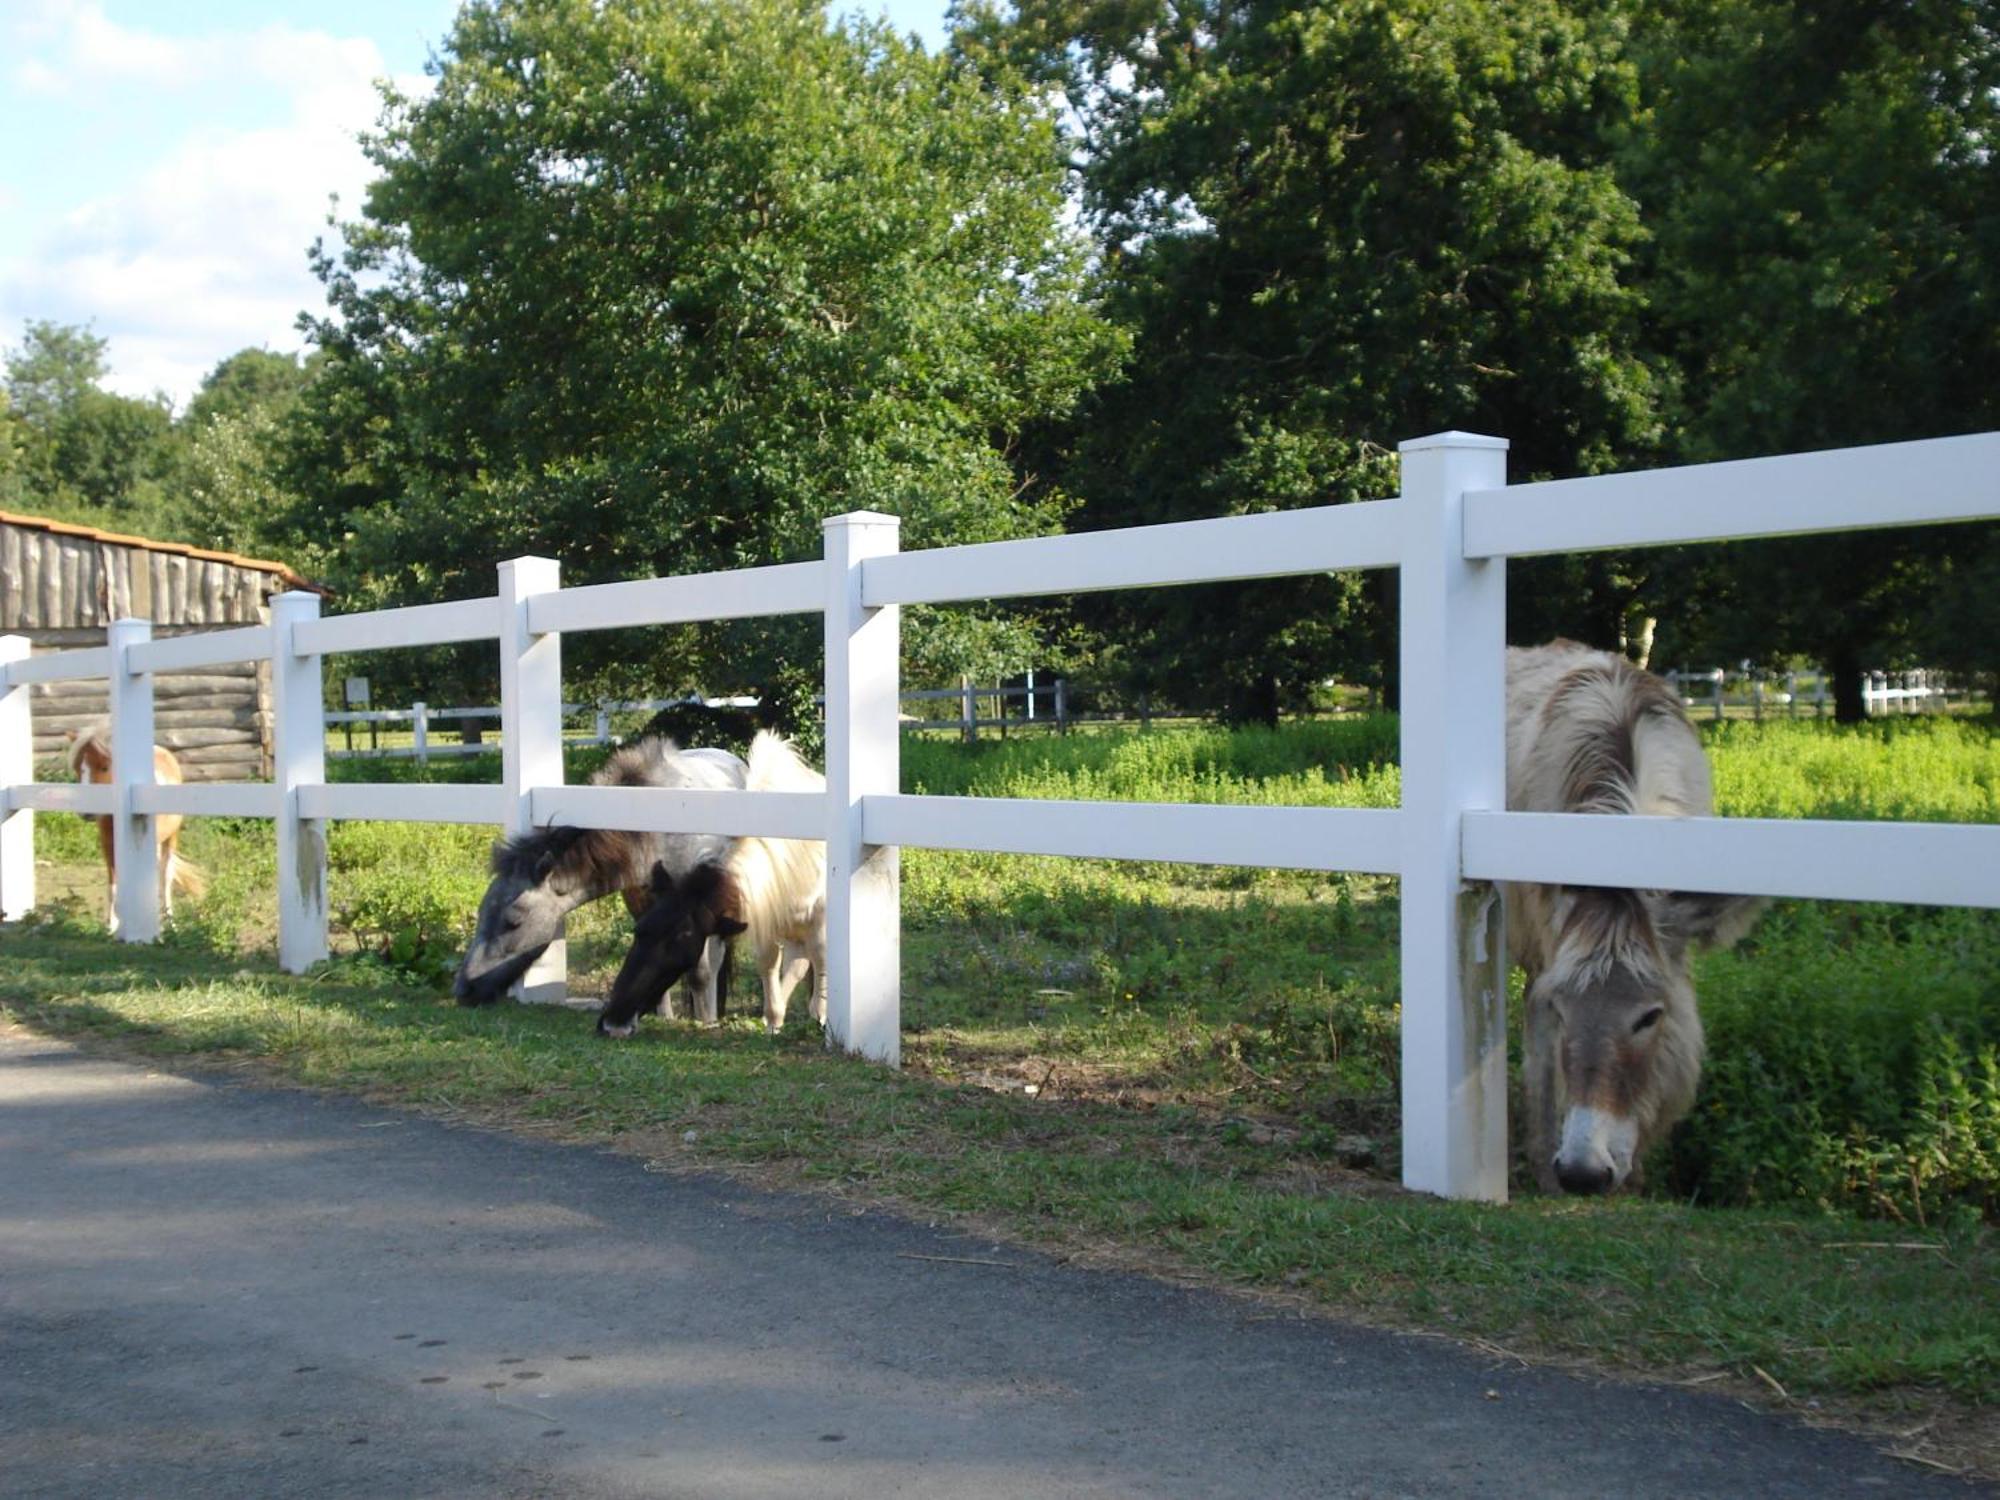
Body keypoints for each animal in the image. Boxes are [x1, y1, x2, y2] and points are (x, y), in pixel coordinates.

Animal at [67, 724, 206, 936]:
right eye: (77, 768)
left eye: (104, 766)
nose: (86, 812)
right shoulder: (108, 845)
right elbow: (113, 885)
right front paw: (111, 927)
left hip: (170, 840)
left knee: (165, 879)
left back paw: (170, 922)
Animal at [454, 736, 752, 1016]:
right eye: (482, 911)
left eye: (513, 922)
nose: (463, 989)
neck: (652, 836)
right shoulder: (643, 906)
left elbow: (700, 975)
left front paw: (705, 1022)